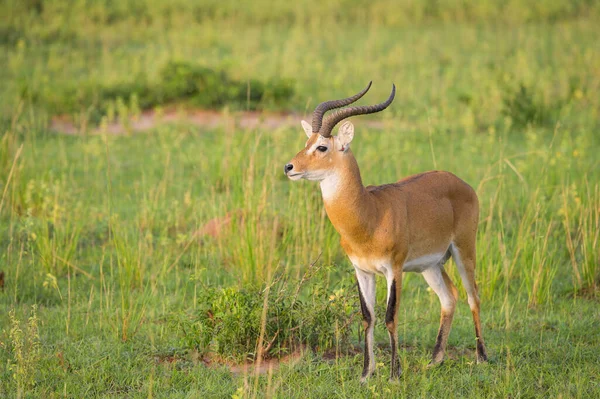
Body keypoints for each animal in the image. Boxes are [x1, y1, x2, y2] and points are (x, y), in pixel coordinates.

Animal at [286, 83, 488, 382]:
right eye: (306, 143)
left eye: (322, 147)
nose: (289, 167)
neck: (370, 214)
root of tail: (461, 182)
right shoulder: (362, 270)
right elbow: (367, 317)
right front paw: (365, 374)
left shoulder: (394, 269)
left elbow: (390, 316)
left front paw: (394, 375)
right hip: (430, 265)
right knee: (449, 298)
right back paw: (434, 360)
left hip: (464, 250)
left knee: (473, 296)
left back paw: (481, 358)